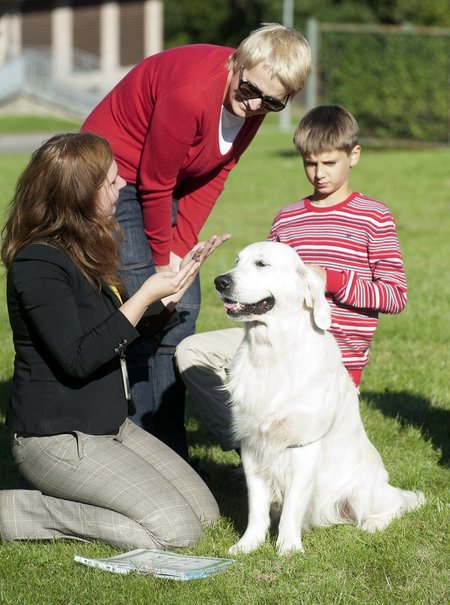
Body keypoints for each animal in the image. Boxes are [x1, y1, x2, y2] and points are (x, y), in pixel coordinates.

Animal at [215, 239, 426, 552]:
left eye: (262, 264)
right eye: (237, 261)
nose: (219, 281)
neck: (271, 353)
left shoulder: (303, 446)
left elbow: (292, 506)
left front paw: (288, 549)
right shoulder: (253, 445)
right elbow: (257, 507)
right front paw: (247, 545)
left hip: (365, 489)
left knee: (396, 504)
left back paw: (373, 525)